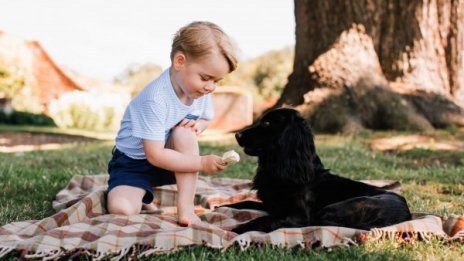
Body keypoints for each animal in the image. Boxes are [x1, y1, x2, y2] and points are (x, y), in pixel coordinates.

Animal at [225, 106, 410, 233]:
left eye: (266, 123)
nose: (237, 135)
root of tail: (407, 214)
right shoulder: (271, 205)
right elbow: (244, 202)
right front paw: (222, 207)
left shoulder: (297, 215)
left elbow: (265, 219)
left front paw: (238, 229)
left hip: (336, 207)